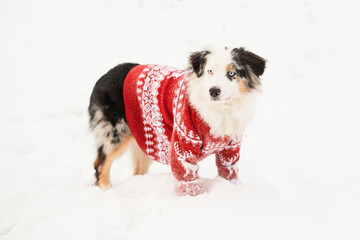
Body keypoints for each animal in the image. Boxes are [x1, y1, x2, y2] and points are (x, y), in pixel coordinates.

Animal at [88, 46, 266, 195]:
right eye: (210, 71)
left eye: (231, 73)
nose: (214, 91)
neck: (221, 110)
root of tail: (104, 76)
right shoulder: (184, 141)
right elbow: (187, 175)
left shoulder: (231, 148)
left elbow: (228, 171)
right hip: (115, 132)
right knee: (100, 164)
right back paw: (107, 191)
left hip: (145, 136)